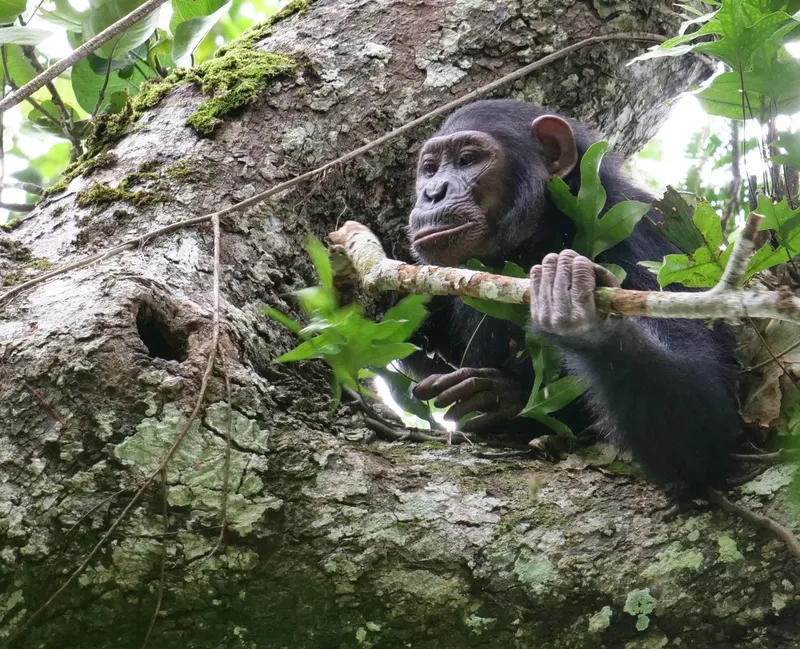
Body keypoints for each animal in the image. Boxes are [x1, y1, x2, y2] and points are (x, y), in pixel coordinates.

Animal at [402, 99, 739, 493]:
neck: (543, 233)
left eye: (467, 160)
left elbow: (703, 426)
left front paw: (585, 318)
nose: (433, 192)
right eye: (429, 169)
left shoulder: (649, 242)